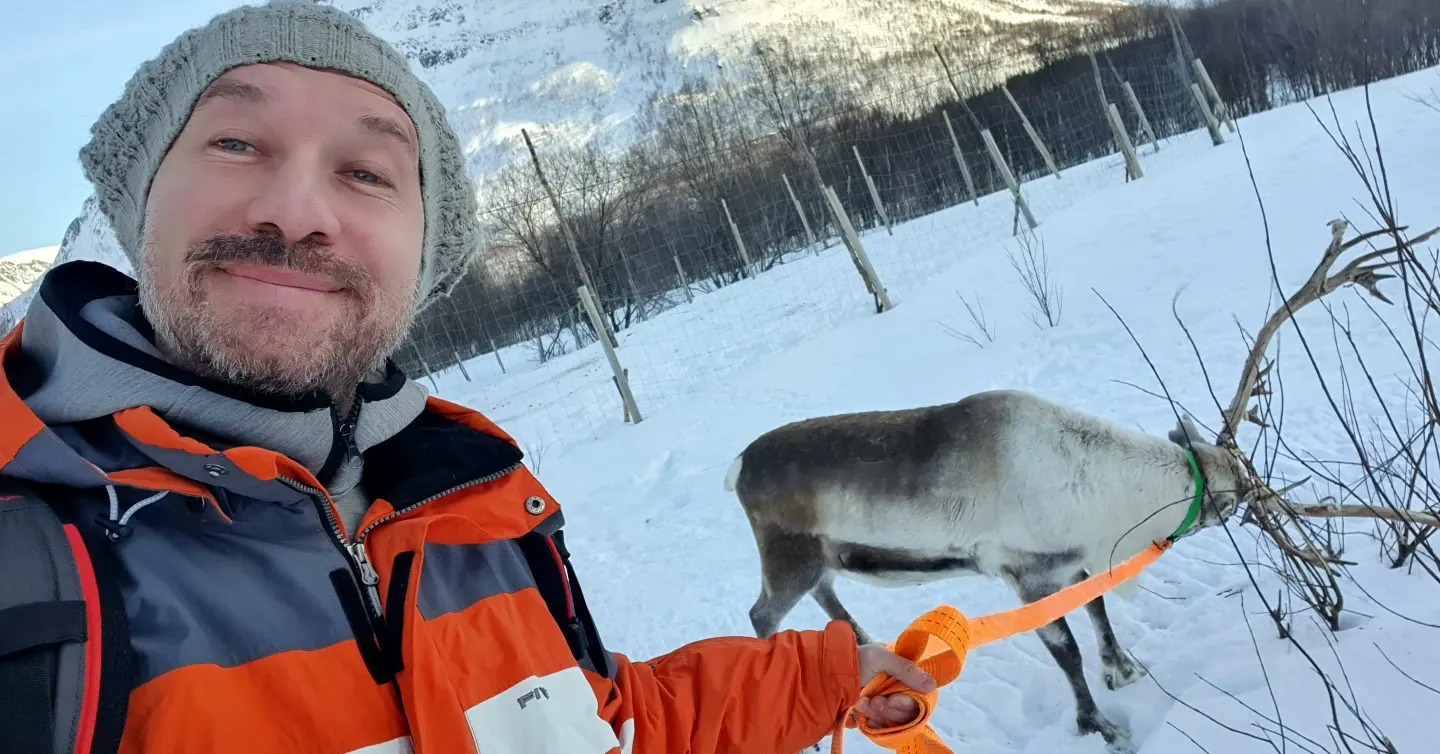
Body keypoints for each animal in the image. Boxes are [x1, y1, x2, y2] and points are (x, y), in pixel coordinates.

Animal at [723, 388, 1255, 753]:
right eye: (1232, 496)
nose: (1257, 492)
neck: (1100, 487)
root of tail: (739, 467)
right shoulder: (1027, 575)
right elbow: (1067, 652)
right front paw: (1100, 727)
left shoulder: (1067, 565)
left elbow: (1098, 610)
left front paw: (1122, 670)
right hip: (788, 559)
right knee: (761, 615)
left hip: (822, 559)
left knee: (824, 595)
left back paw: (869, 651)